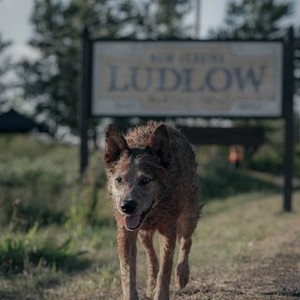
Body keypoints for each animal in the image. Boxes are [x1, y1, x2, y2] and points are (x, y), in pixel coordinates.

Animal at [104, 120, 200, 298]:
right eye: (119, 180)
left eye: (145, 180)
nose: (126, 207)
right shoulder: (125, 232)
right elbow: (127, 272)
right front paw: (132, 295)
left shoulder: (168, 229)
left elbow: (165, 269)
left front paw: (161, 294)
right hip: (144, 234)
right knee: (151, 255)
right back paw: (151, 284)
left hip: (188, 216)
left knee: (186, 241)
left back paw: (182, 275)